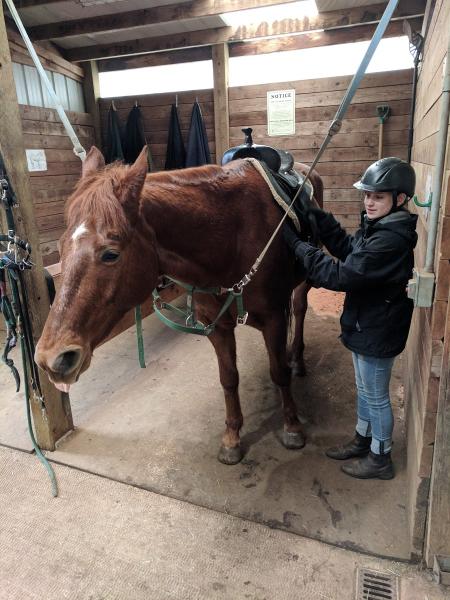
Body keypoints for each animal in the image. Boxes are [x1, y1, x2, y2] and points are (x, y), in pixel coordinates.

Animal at [36, 145, 324, 464]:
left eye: (110, 254)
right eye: (60, 247)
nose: (52, 359)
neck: (230, 238)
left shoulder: (274, 318)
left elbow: (279, 372)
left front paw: (292, 426)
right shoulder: (216, 327)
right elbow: (228, 378)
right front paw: (232, 437)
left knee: (299, 309)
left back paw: (297, 358)